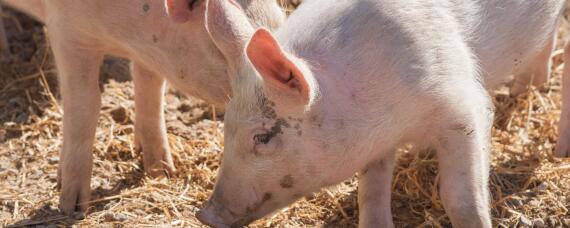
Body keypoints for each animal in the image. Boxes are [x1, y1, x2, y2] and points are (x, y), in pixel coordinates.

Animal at [0, 0, 284, 216]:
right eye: (222, 48)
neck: (126, 38)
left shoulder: (152, 52)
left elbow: (150, 91)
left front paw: (162, 172)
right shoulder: (67, 33)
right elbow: (85, 105)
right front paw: (72, 208)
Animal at [194, 0, 564, 227]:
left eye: (263, 136)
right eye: (225, 129)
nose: (205, 214)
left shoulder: (463, 105)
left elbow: (460, 197)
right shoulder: (375, 142)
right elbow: (370, 194)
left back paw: (561, 151)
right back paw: (526, 88)